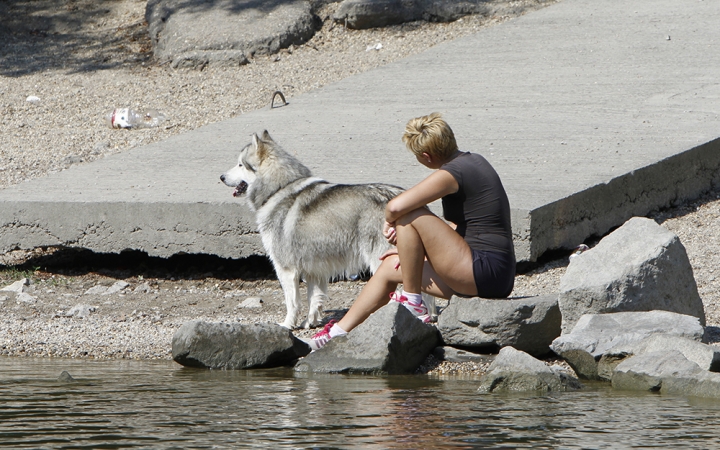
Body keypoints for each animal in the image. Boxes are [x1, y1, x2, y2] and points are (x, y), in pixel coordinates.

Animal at [221, 132, 404, 328]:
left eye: (240, 164)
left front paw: (287, 325)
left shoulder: (285, 269)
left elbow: (292, 303)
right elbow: (314, 300)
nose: (221, 177)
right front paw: (310, 323)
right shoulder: (315, 270)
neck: (279, 188)